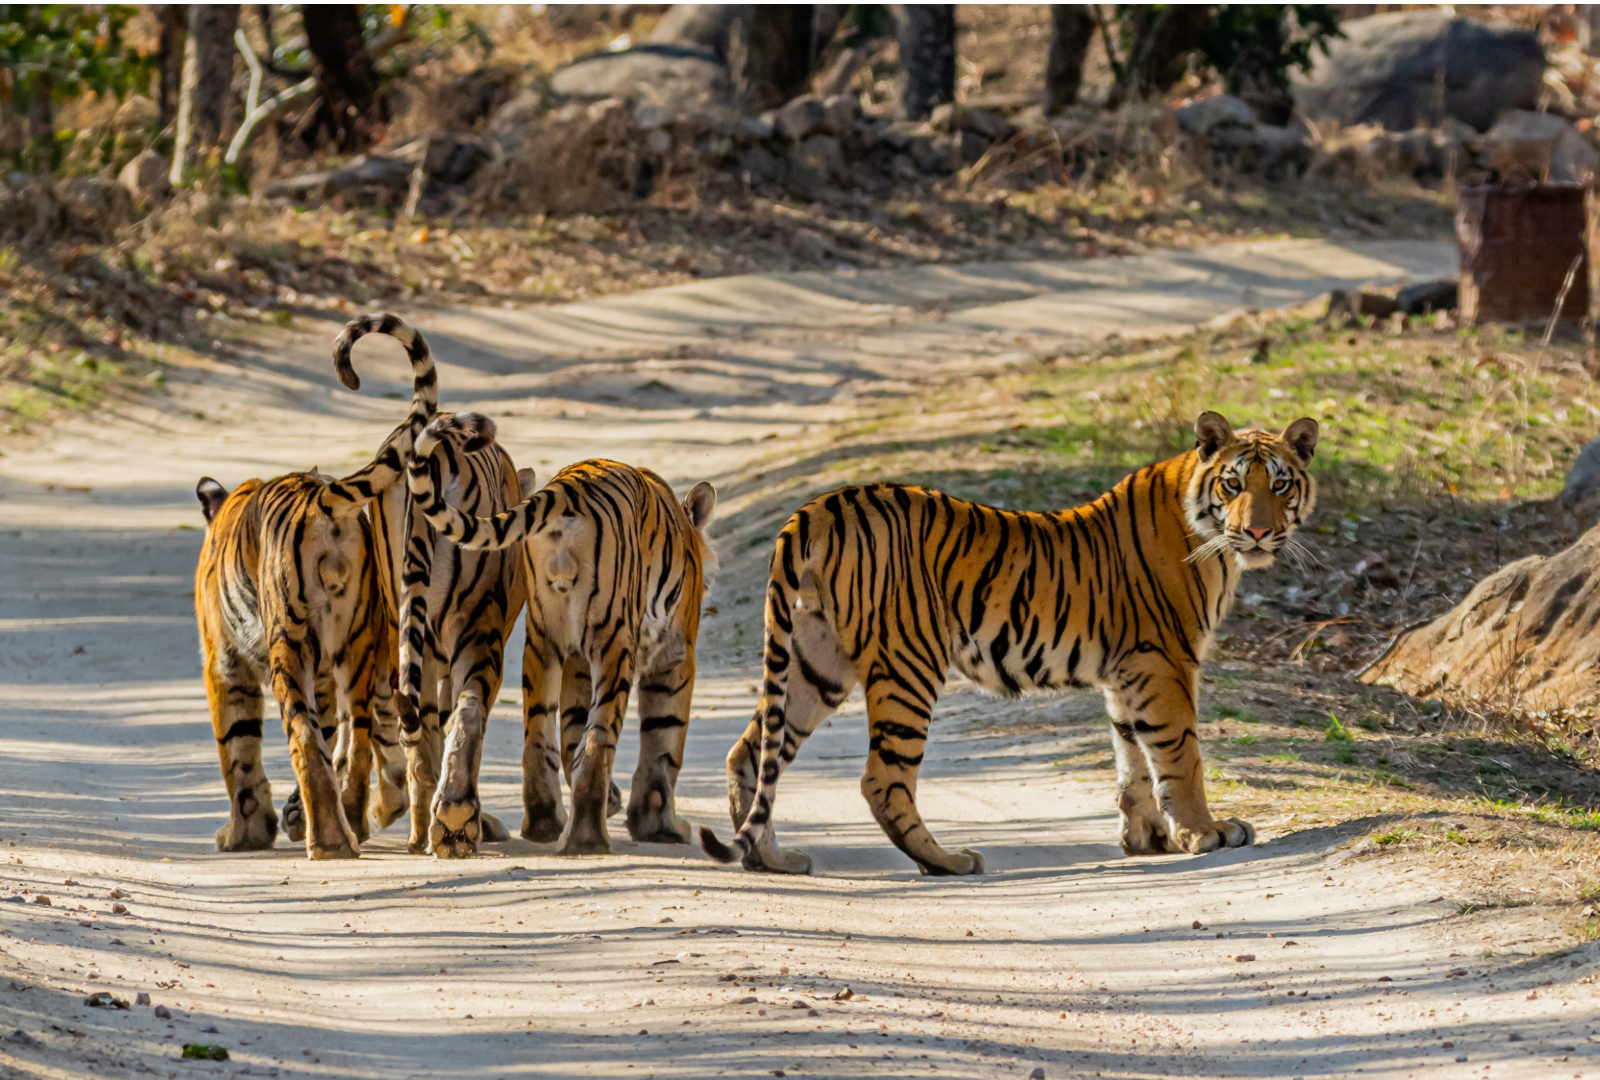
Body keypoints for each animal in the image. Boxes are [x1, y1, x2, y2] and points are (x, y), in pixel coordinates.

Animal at [331, 315, 529, 859]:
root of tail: (435, 449)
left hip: (410, 619)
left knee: (412, 721)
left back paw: (426, 823)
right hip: (475, 625)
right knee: (466, 712)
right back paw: (452, 821)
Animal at [406, 412, 717, 855]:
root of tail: (568, 490)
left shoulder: (574, 658)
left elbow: (570, 733)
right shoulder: (674, 654)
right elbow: (663, 742)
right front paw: (661, 827)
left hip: (542, 640)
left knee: (537, 737)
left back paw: (543, 824)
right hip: (614, 641)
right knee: (598, 739)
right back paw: (586, 838)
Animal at [698, 411, 1320, 876]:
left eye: (1280, 484)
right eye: (1233, 484)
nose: (1258, 531)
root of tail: (820, 505)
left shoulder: (1127, 674)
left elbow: (1132, 756)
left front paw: (1148, 839)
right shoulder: (1164, 662)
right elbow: (1180, 753)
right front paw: (1206, 831)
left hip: (815, 660)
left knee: (751, 751)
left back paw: (772, 859)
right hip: (909, 662)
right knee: (883, 779)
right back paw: (948, 861)